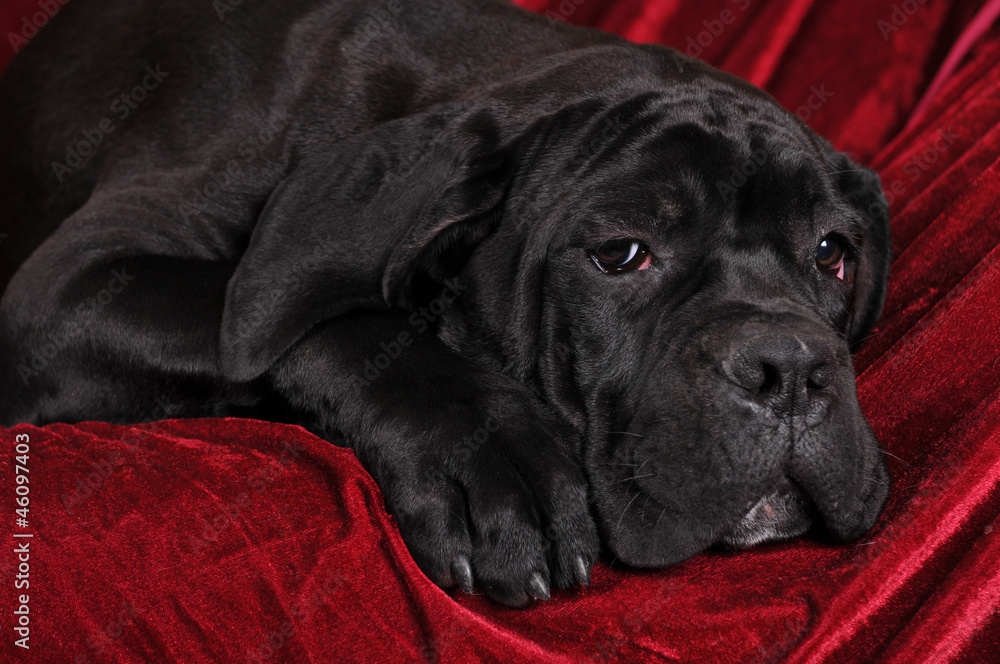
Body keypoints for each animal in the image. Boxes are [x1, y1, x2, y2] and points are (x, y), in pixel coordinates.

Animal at [0, 0, 892, 608]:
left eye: (831, 252)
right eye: (620, 253)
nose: (789, 367)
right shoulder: (75, 281)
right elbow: (341, 322)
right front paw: (492, 455)